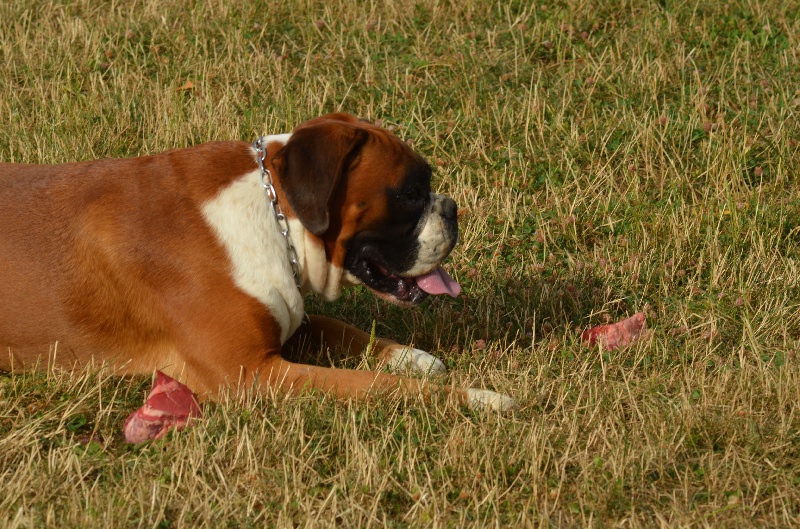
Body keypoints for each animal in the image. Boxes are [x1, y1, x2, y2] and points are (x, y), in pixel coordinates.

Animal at [0, 111, 512, 410]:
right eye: (410, 193)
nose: (452, 209)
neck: (275, 214)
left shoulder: (286, 322)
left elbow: (343, 329)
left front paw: (414, 358)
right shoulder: (253, 373)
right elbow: (374, 385)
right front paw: (480, 398)